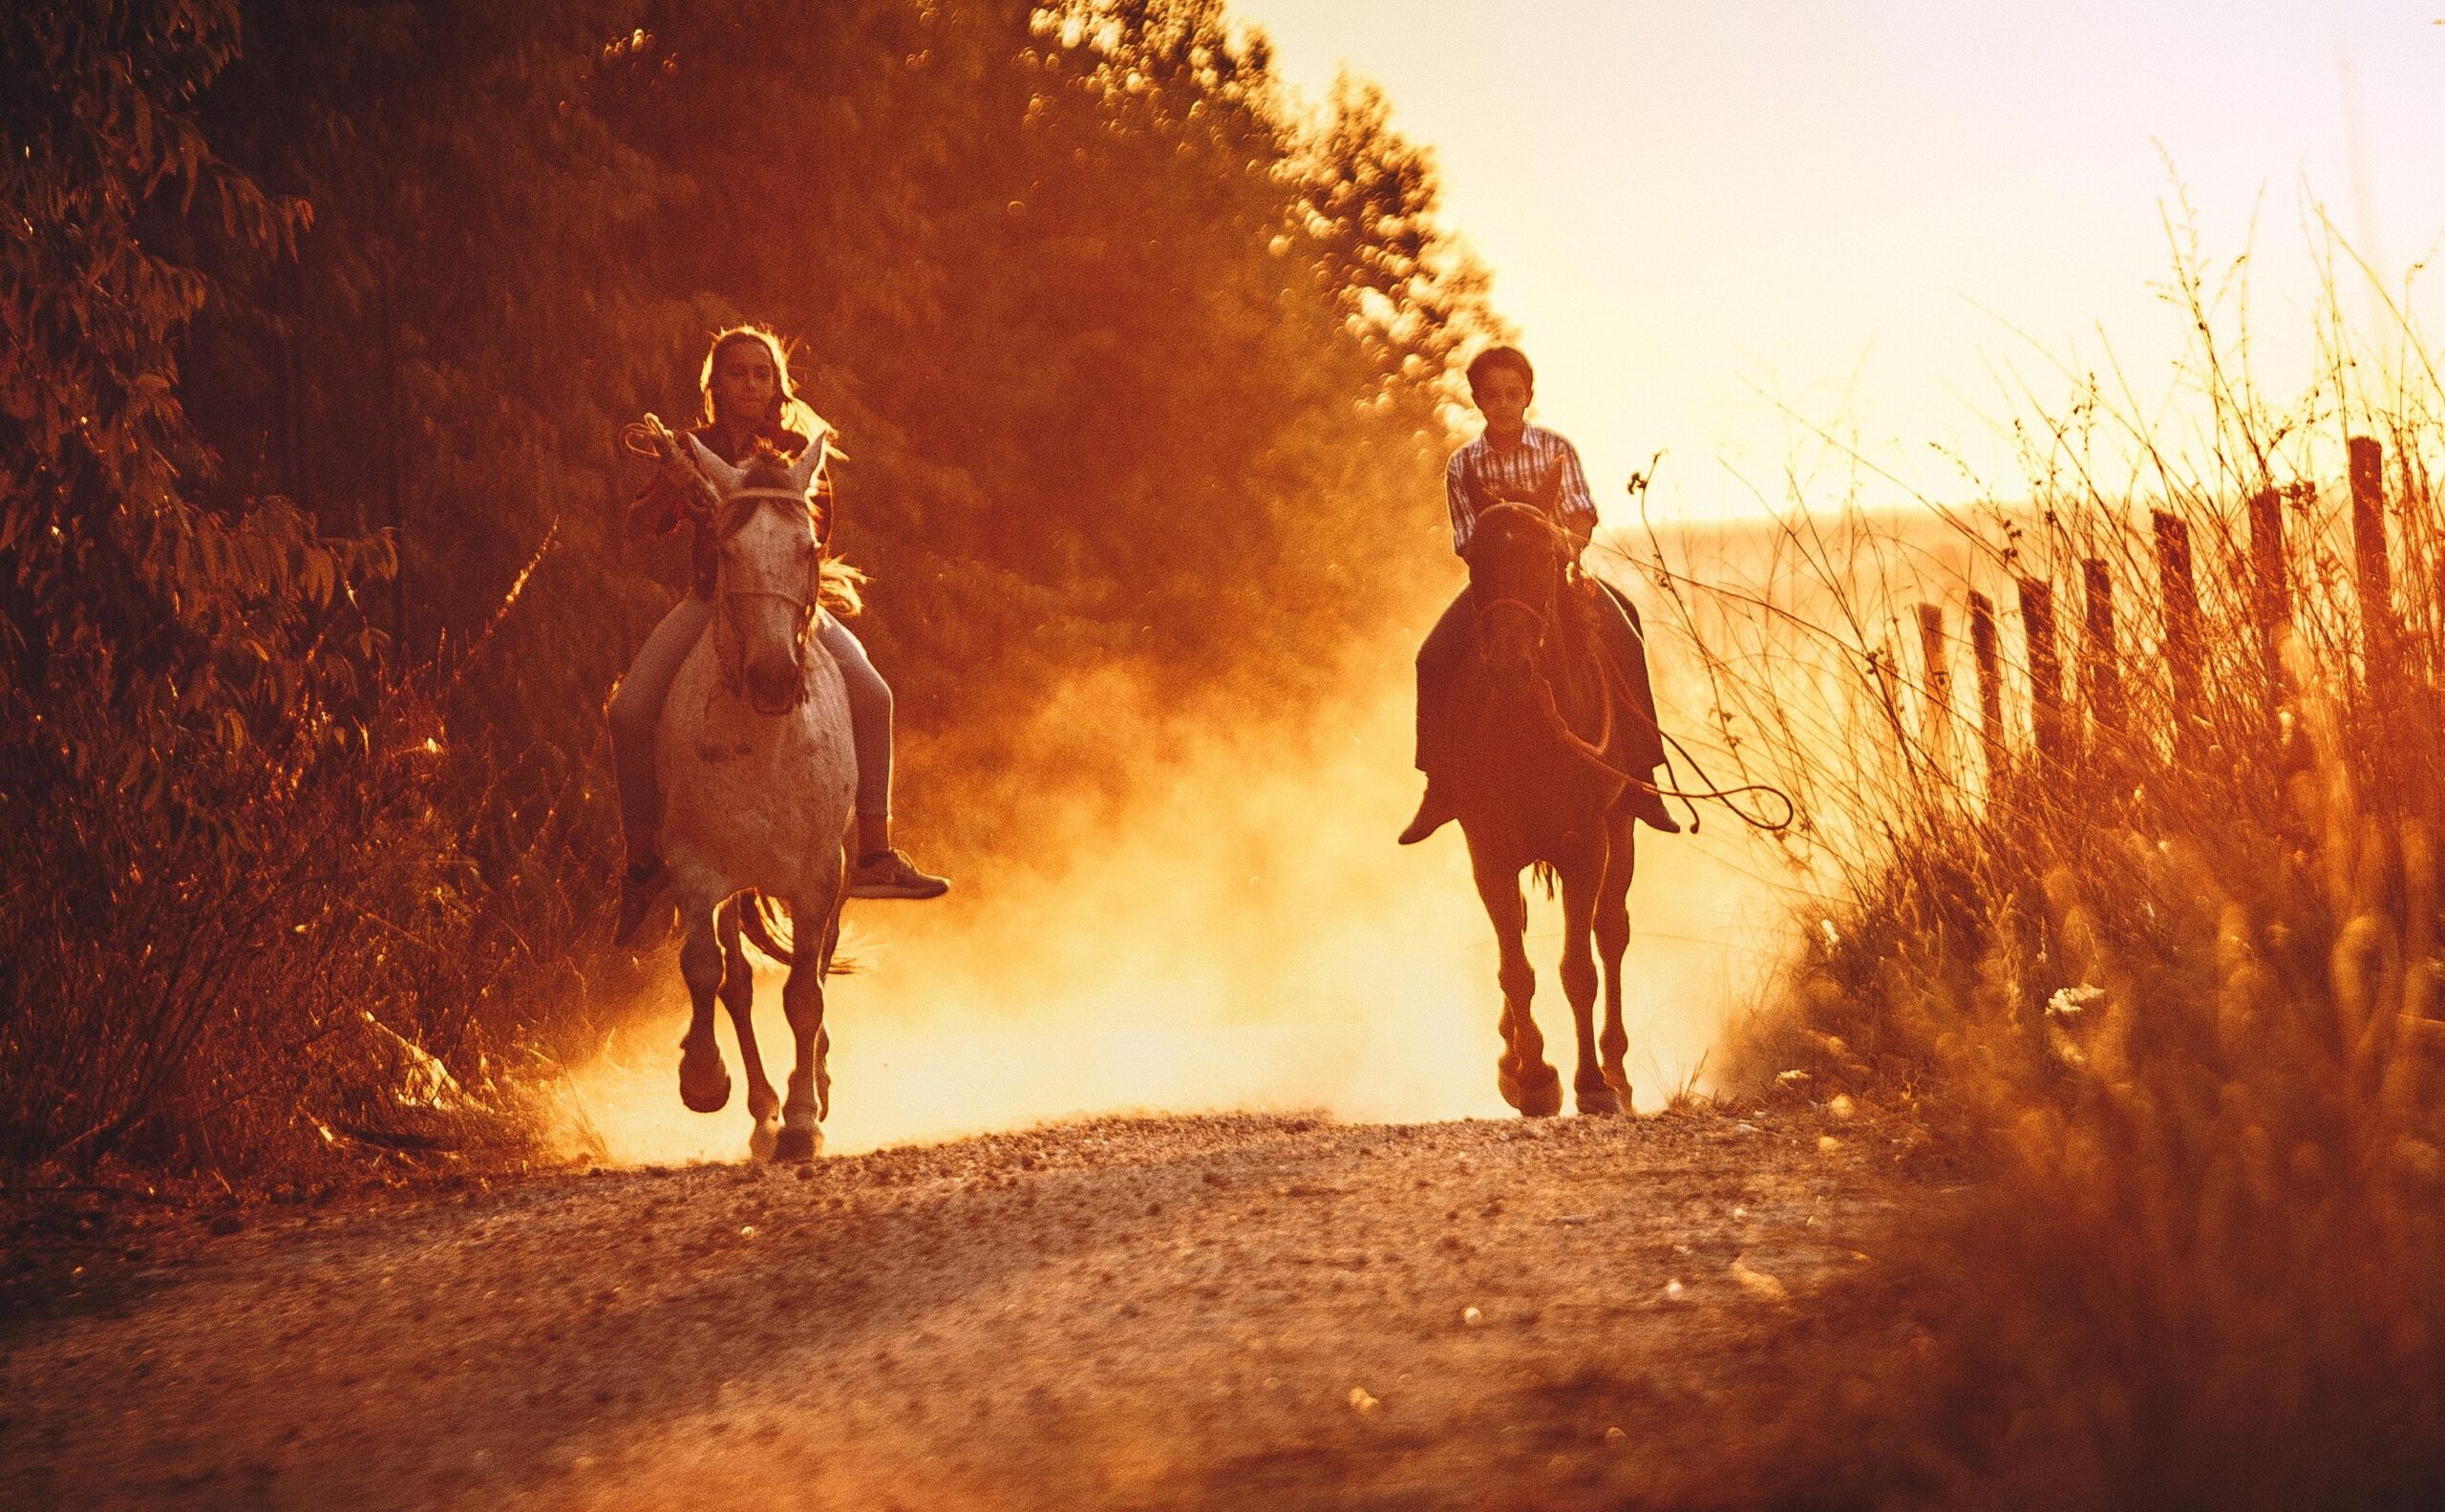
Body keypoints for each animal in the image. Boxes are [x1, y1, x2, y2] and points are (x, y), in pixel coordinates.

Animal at [660, 430, 861, 1160]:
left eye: (808, 547)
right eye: (725, 550)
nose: (774, 677)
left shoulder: (818, 876)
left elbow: (804, 993)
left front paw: (804, 1118)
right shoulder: (697, 871)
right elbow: (705, 970)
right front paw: (703, 1078)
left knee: (816, 971)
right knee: (738, 984)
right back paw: (760, 1111)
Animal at [1437, 501, 1633, 1110]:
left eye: (1545, 558)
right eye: (1475, 560)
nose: (1509, 663)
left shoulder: (1586, 846)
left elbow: (1579, 969)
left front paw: (1591, 1085)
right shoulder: (1489, 851)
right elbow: (1515, 969)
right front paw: (1532, 1078)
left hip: (1623, 829)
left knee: (1611, 933)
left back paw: (1618, 1072)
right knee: (1520, 932)